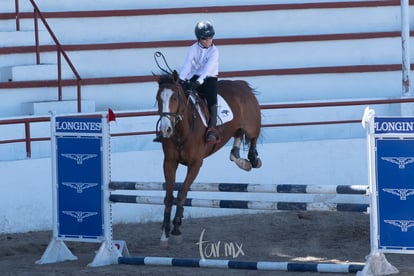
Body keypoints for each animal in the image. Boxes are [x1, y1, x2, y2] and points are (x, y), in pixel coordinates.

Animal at [155, 69, 262, 246]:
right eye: (158, 98)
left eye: (174, 97)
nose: (165, 130)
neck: (182, 130)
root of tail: (241, 84)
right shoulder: (169, 163)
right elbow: (169, 197)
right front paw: (165, 232)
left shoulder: (195, 164)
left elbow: (182, 193)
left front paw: (176, 228)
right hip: (236, 128)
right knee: (236, 142)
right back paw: (242, 162)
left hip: (252, 124)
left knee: (253, 137)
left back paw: (252, 159)